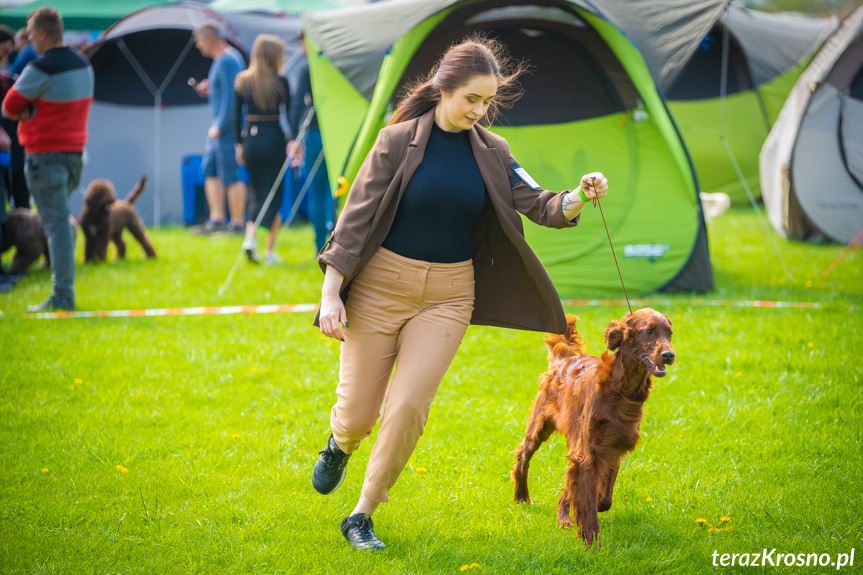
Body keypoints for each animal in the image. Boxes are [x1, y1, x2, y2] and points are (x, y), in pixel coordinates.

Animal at [510, 310, 680, 548]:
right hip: (538, 428)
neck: (621, 389)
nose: (668, 355)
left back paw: (563, 517)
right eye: (648, 331)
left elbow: (602, 499)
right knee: (523, 458)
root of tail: (565, 358)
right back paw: (522, 497)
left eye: (670, 333)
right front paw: (591, 543)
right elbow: (588, 502)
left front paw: (585, 513)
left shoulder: (612, 449)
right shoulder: (590, 451)